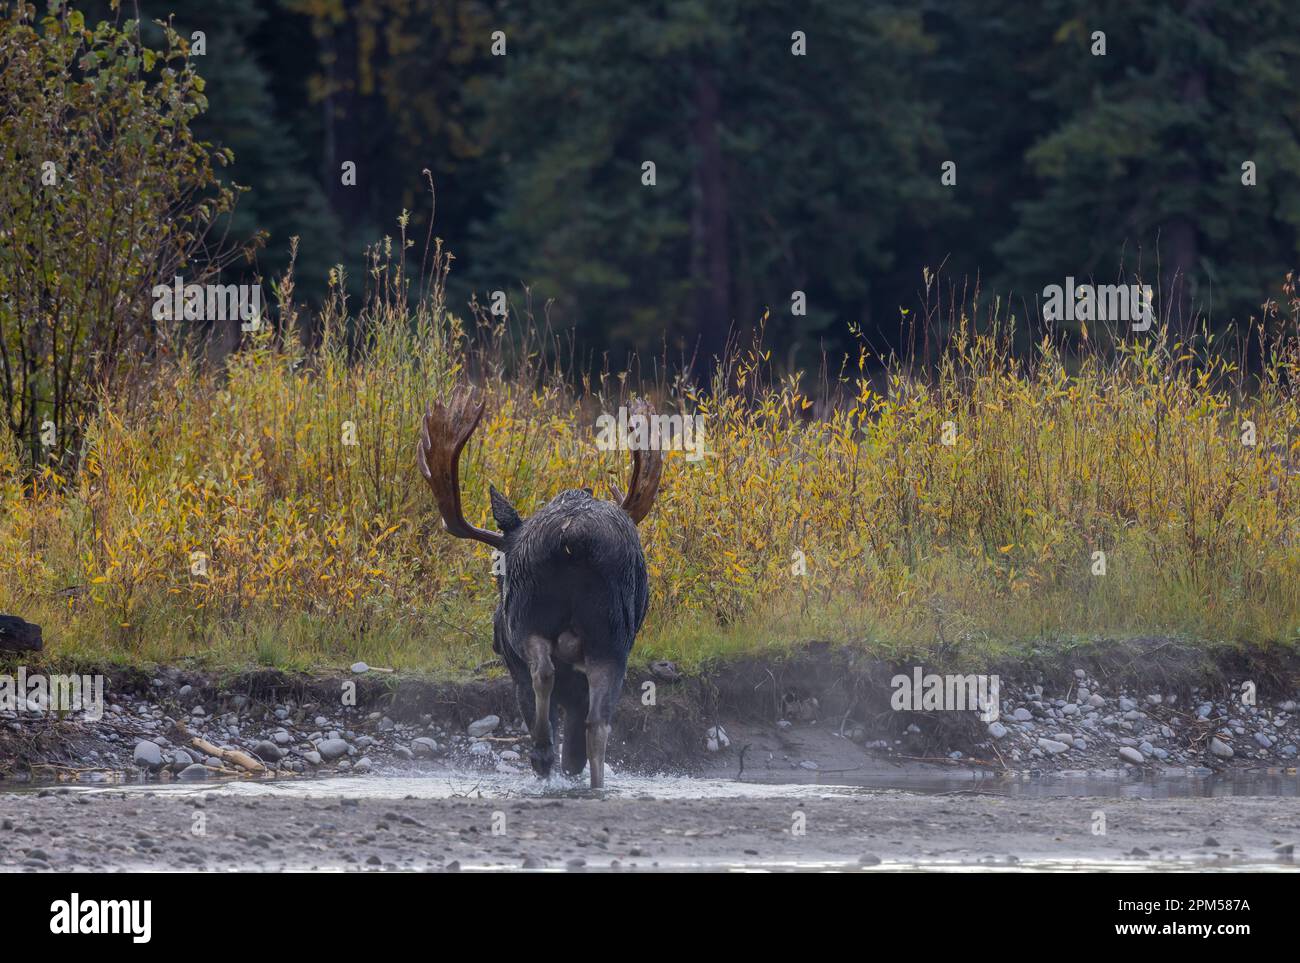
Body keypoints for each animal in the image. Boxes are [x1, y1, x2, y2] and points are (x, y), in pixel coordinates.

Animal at [418, 388, 662, 788]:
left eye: (498, 575)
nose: (494, 636)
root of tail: (574, 537)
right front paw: (570, 763)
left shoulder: (514, 664)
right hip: (612, 639)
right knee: (599, 724)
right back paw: (588, 778)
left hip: (529, 623)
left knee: (543, 673)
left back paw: (542, 754)